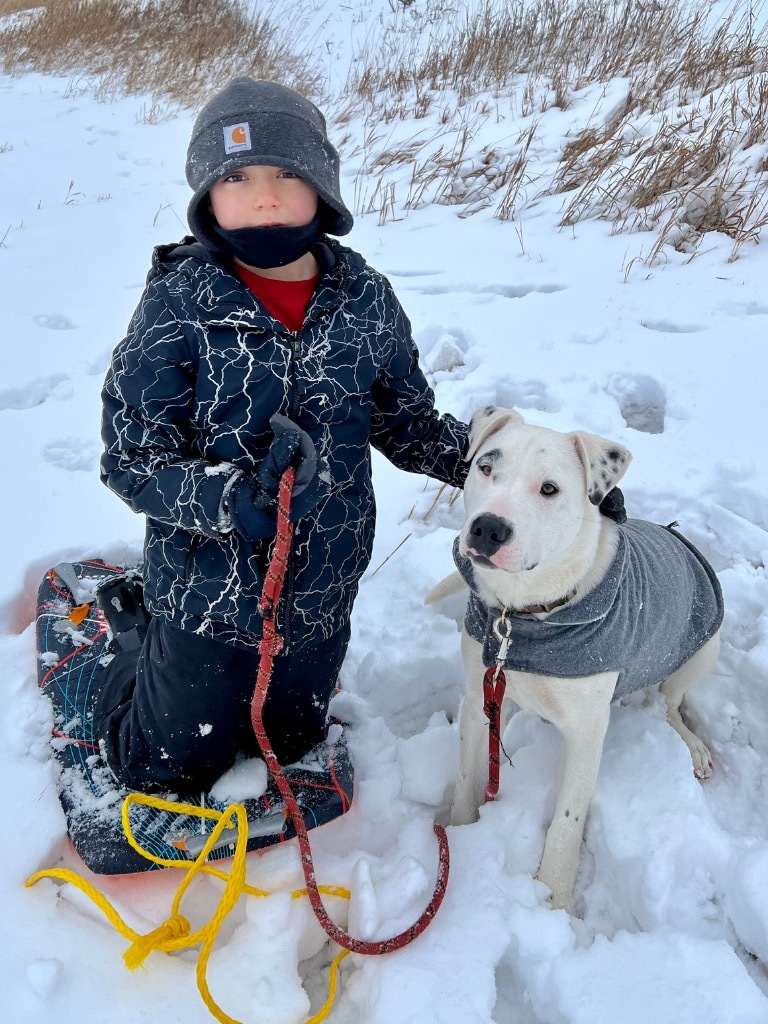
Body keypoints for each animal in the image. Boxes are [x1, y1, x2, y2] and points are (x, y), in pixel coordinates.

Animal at [430, 403, 724, 909]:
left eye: (550, 489)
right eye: (486, 467)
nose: (488, 528)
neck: (523, 612)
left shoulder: (587, 730)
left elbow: (568, 818)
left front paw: (553, 893)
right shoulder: (478, 696)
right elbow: (468, 779)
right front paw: (461, 831)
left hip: (705, 647)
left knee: (669, 705)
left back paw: (693, 745)